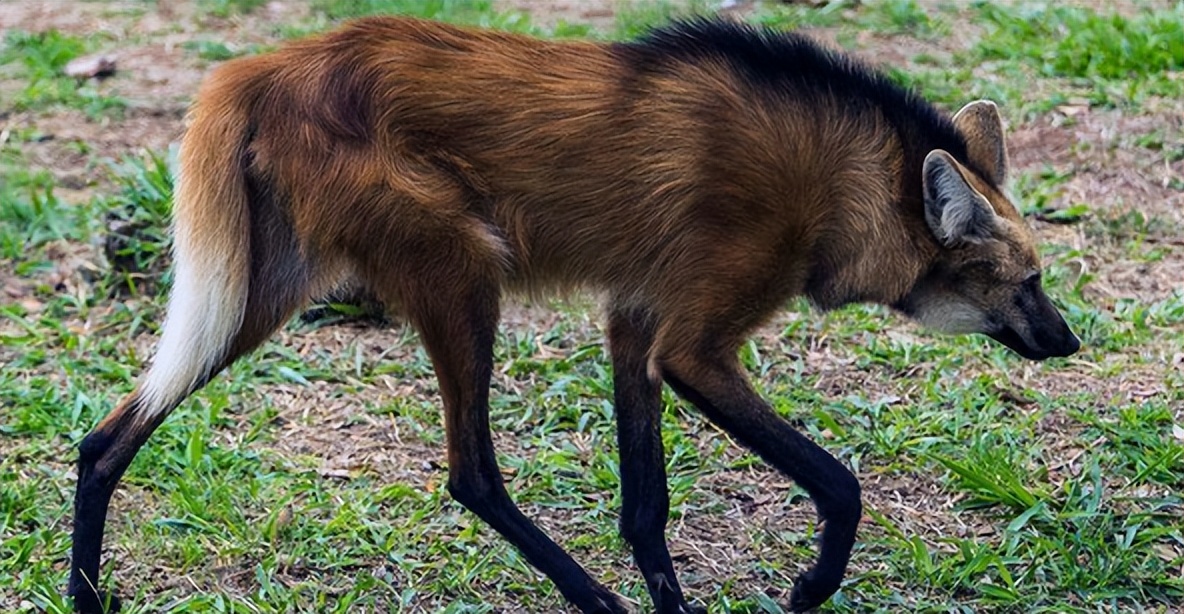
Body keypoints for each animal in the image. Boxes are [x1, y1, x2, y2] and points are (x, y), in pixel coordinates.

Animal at [67, 14, 1084, 614]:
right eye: (1027, 281)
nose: (1069, 340)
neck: (846, 186)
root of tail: (258, 67)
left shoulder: (634, 319)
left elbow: (646, 503)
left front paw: (675, 608)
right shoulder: (692, 346)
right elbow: (839, 483)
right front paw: (806, 586)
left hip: (260, 294)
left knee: (106, 437)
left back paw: (84, 595)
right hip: (461, 271)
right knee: (472, 475)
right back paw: (595, 602)